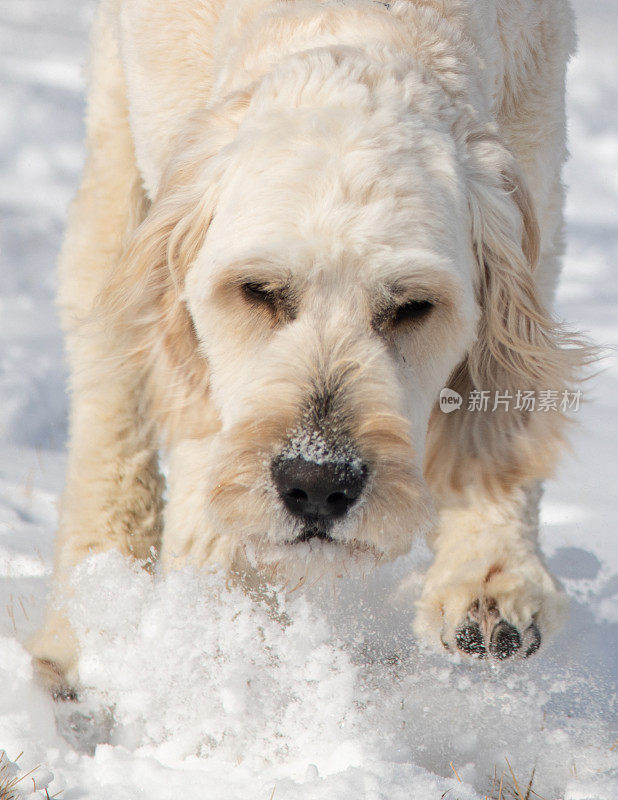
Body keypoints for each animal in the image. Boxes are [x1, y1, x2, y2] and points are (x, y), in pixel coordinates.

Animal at [28, 0, 588, 692]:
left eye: (413, 306)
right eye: (257, 290)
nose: (317, 484)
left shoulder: (535, 187)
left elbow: (503, 398)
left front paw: (492, 569)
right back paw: (86, 617)